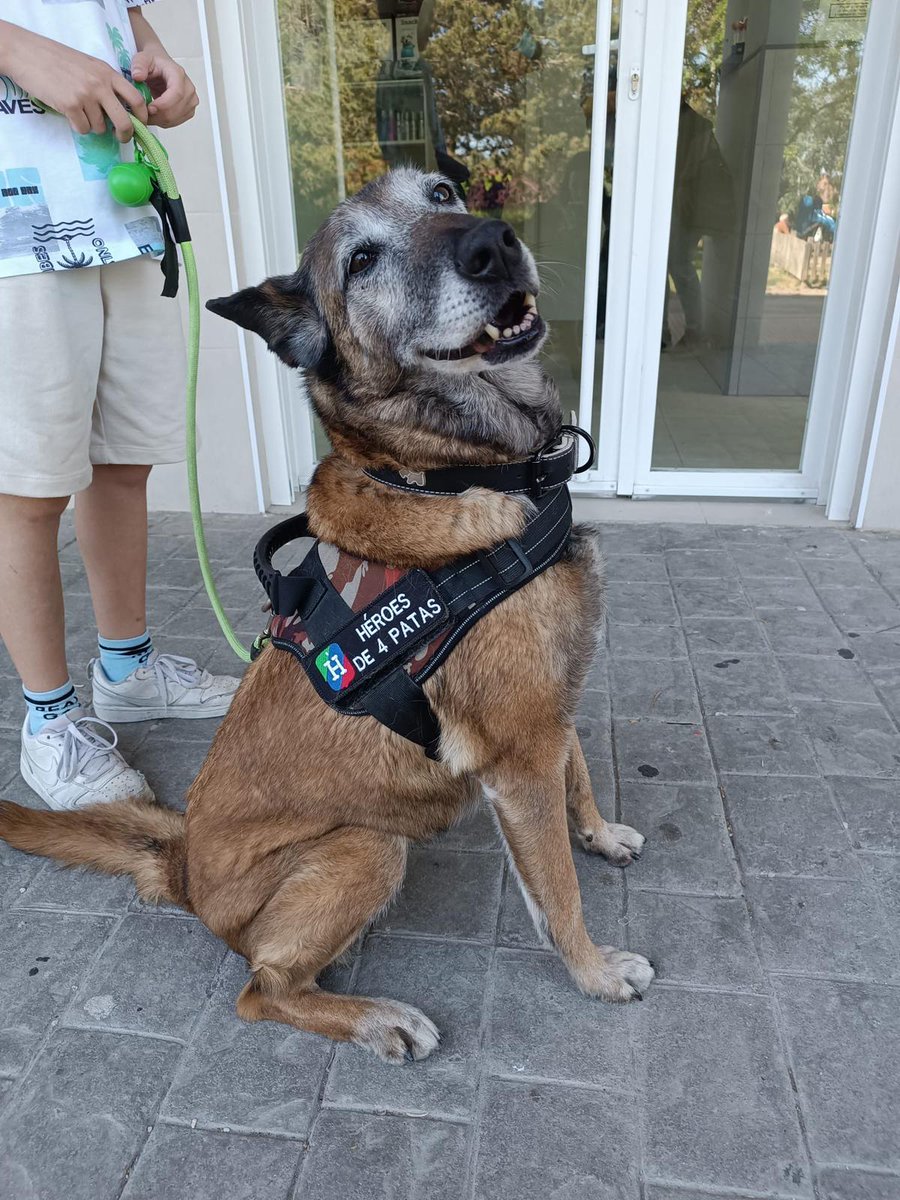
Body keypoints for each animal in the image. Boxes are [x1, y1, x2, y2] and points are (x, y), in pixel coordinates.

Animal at [0, 166, 652, 1060]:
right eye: (362, 261)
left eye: (441, 192)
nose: (491, 244)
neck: (455, 474)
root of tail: (183, 867)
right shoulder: (519, 755)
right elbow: (556, 890)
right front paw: (594, 970)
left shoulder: (551, 715)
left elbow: (578, 779)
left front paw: (601, 834)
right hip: (364, 845)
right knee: (261, 989)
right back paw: (375, 1017)